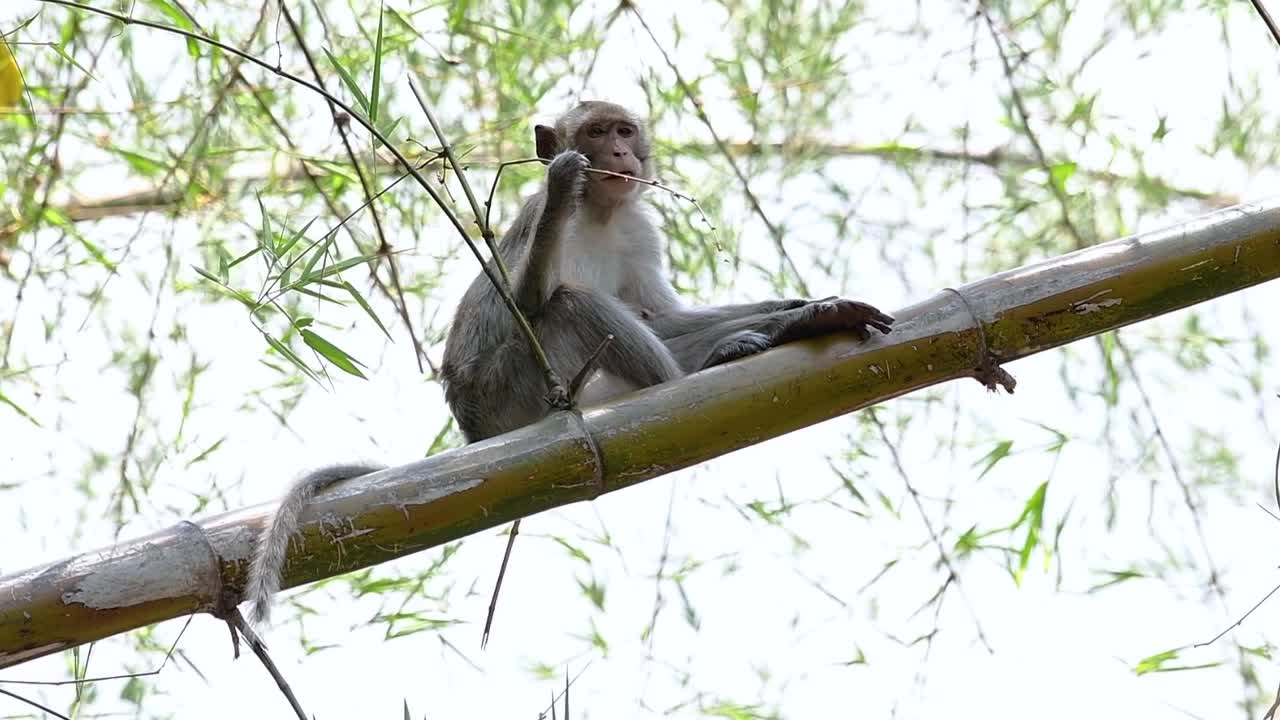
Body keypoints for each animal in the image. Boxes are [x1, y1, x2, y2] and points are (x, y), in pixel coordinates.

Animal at [244, 100, 894, 624]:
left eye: (625, 130)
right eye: (597, 132)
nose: (618, 151)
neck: (603, 213)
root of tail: (473, 431)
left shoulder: (639, 229)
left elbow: (661, 316)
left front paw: (806, 312)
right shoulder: (538, 222)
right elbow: (531, 299)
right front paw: (562, 186)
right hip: (511, 390)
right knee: (567, 302)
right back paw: (691, 375)